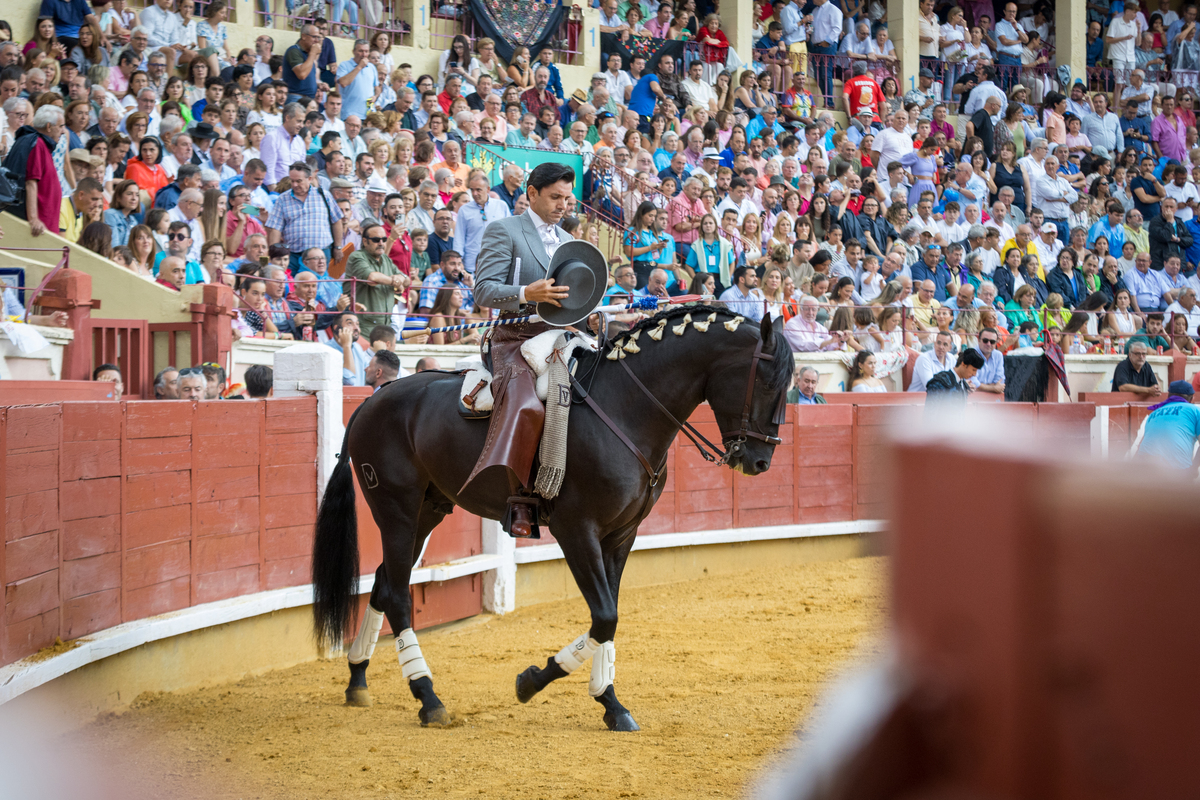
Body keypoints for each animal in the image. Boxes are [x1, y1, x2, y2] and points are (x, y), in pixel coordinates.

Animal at [314, 307, 792, 734]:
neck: (625, 407)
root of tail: (373, 399)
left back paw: (357, 680)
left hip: (427, 512)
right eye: (768, 381)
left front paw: (610, 704)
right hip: (395, 508)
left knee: (382, 582)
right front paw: (533, 682)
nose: (760, 461)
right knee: (397, 594)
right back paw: (428, 698)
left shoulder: (622, 535)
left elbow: (609, 613)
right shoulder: (577, 531)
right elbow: (604, 615)